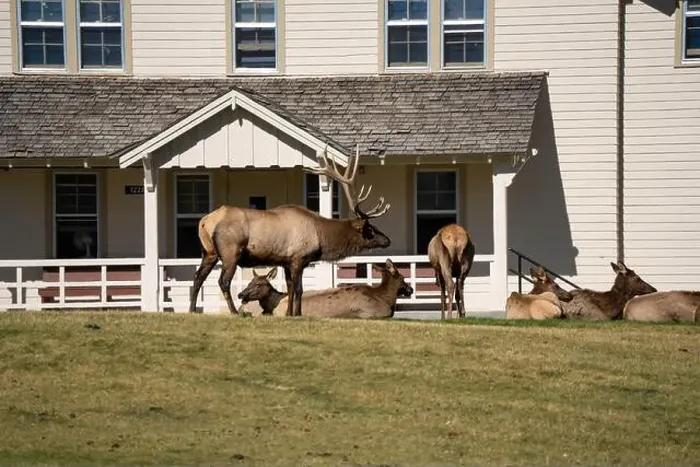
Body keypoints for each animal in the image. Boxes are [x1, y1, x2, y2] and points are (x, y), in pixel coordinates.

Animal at [189, 146, 392, 317]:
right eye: (369, 228)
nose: (387, 240)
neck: (321, 237)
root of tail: (206, 222)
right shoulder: (298, 258)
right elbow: (299, 288)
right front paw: (298, 313)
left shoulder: (285, 261)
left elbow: (290, 288)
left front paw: (288, 314)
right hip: (230, 251)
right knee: (223, 281)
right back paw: (234, 312)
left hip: (209, 252)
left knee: (198, 277)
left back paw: (191, 310)